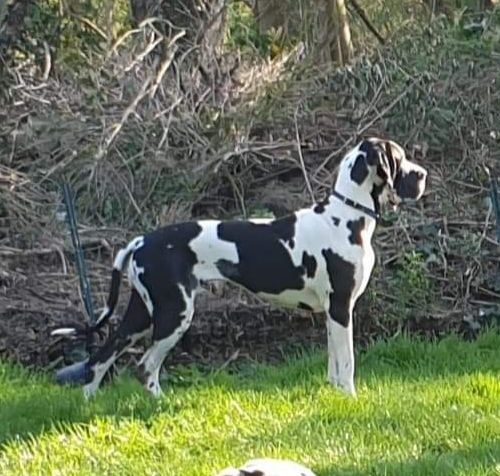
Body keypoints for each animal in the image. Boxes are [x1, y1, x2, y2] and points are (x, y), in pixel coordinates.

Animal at [57, 137, 427, 399]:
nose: (423, 174)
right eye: (399, 156)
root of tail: (140, 242)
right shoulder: (340, 308)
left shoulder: (332, 313)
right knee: (145, 365)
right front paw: (350, 398)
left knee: (100, 358)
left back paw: (89, 405)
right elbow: (347, 362)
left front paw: (336, 393)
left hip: (141, 315)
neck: (346, 216)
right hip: (175, 314)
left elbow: (334, 362)